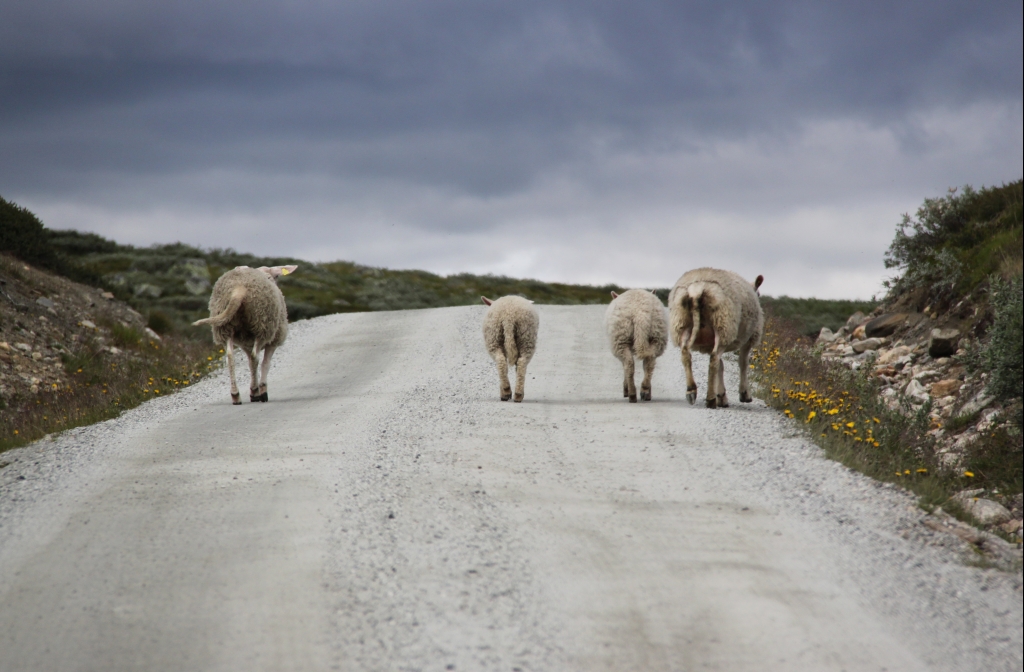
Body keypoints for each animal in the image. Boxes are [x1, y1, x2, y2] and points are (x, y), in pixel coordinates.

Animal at [192, 264, 296, 403]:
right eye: (277, 276)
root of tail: (239, 289)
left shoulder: (246, 343)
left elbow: (251, 365)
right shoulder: (273, 341)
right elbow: (265, 364)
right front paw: (262, 390)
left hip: (225, 328)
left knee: (230, 358)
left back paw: (236, 395)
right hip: (262, 325)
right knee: (255, 357)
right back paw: (255, 392)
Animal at [667, 268, 765, 409]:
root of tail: (696, 290)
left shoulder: (708, 343)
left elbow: (722, 365)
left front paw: (722, 396)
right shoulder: (750, 338)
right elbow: (743, 363)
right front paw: (744, 394)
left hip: (682, 323)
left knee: (686, 354)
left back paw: (691, 391)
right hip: (723, 324)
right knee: (714, 359)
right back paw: (710, 399)